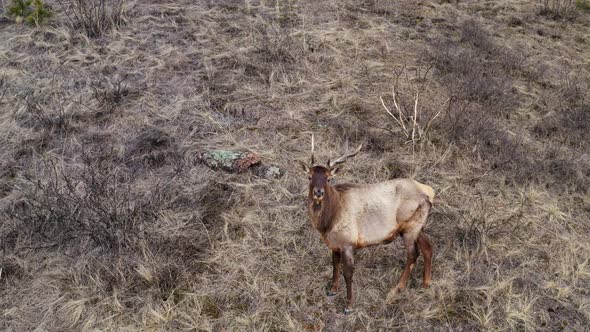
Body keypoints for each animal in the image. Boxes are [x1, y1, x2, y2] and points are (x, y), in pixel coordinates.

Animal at [300, 137, 434, 314]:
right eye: (309, 177)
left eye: (328, 178)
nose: (318, 192)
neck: (328, 223)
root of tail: (429, 193)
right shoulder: (335, 244)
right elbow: (335, 264)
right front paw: (332, 290)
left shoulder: (348, 243)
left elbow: (348, 273)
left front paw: (349, 306)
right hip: (418, 226)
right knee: (428, 247)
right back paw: (426, 284)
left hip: (410, 228)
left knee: (413, 255)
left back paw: (397, 288)